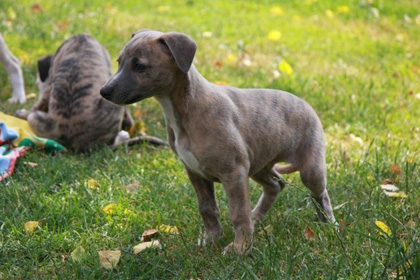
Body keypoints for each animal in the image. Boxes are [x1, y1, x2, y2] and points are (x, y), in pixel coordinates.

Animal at [100, 29, 336, 255]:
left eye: (140, 66)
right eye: (119, 61)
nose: (104, 92)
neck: (187, 109)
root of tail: (306, 104)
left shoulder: (234, 173)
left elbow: (238, 214)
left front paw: (240, 249)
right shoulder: (195, 172)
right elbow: (207, 208)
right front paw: (211, 239)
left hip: (310, 169)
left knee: (320, 194)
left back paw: (330, 225)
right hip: (259, 164)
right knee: (276, 185)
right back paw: (257, 217)